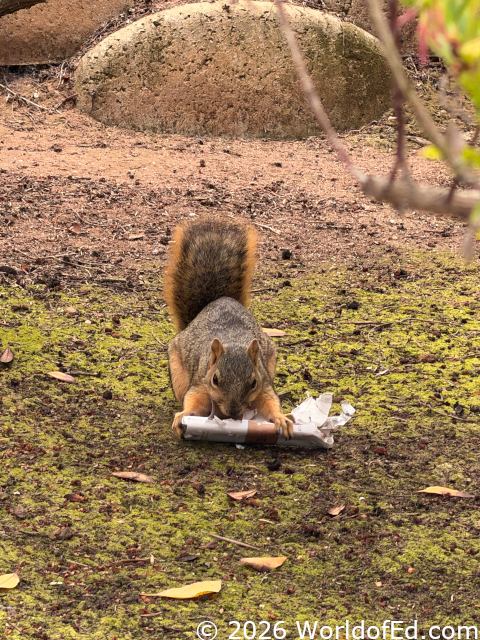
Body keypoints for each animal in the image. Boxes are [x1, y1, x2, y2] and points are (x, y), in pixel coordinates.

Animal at [165, 219, 294, 439]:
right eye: (215, 379)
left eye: (253, 382)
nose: (233, 412)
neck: (233, 342)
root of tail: (219, 300)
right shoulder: (200, 383)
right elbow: (193, 401)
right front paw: (184, 416)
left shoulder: (264, 383)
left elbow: (270, 402)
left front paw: (281, 419)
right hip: (178, 372)